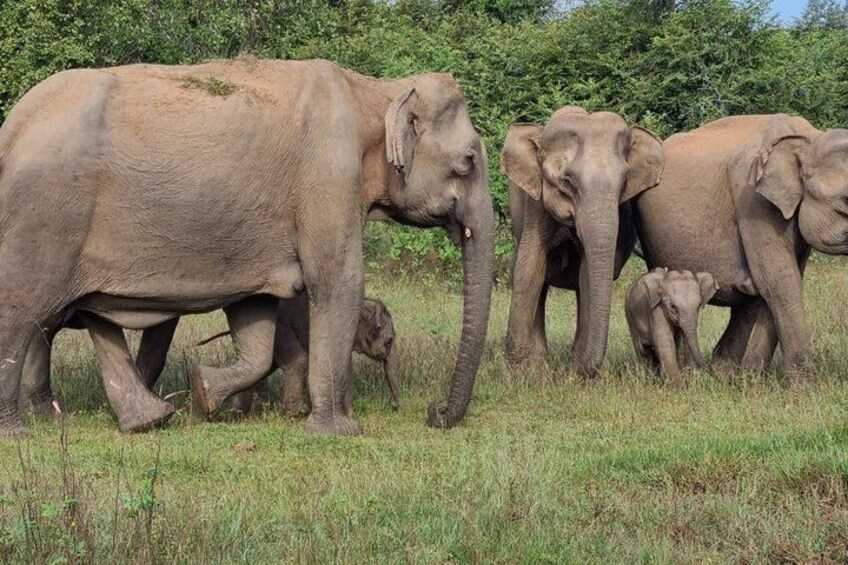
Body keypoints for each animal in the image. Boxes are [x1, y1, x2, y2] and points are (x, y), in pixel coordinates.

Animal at [0, 58, 494, 438]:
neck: (373, 89)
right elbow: (338, 283)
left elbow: (255, 319)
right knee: (22, 312)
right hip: (44, 218)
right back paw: (20, 431)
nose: (433, 413)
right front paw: (337, 432)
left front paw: (204, 392)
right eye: (468, 162)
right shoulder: (328, 179)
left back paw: (142, 421)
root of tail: (13, 125)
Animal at [499, 106, 664, 374]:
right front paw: (520, 369)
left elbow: (587, 275)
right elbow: (529, 269)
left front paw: (578, 370)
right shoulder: (535, 205)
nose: (579, 369)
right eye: (567, 181)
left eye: (624, 181)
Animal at [633, 114, 848, 379]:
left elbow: (780, 281)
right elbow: (778, 281)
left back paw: (725, 372)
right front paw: (804, 386)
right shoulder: (753, 200)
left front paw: (751, 380)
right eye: (846, 199)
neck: (808, 138)